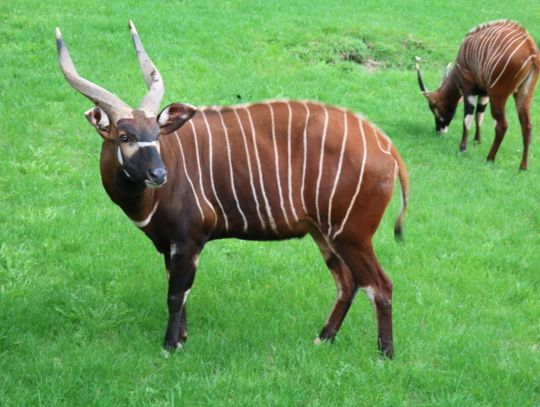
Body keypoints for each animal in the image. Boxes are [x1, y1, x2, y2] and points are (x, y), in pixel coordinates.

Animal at [56, 23, 410, 360]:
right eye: (125, 136)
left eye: (156, 133)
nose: (159, 174)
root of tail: (387, 147)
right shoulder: (170, 244)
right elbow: (180, 291)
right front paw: (182, 339)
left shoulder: (188, 239)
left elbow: (176, 293)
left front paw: (170, 346)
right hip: (322, 233)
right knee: (347, 284)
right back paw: (323, 339)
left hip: (351, 235)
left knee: (380, 285)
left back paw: (385, 355)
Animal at [418, 20, 540, 171]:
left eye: (433, 107)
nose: (439, 130)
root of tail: (530, 48)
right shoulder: (484, 94)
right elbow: (479, 116)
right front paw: (477, 141)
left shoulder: (468, 90)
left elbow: (467, 118)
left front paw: (462, 148)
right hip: (523, 94)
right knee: (527, 125)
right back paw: (523, 166)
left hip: (498, 94)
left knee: (502, 125)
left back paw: (490, 158)